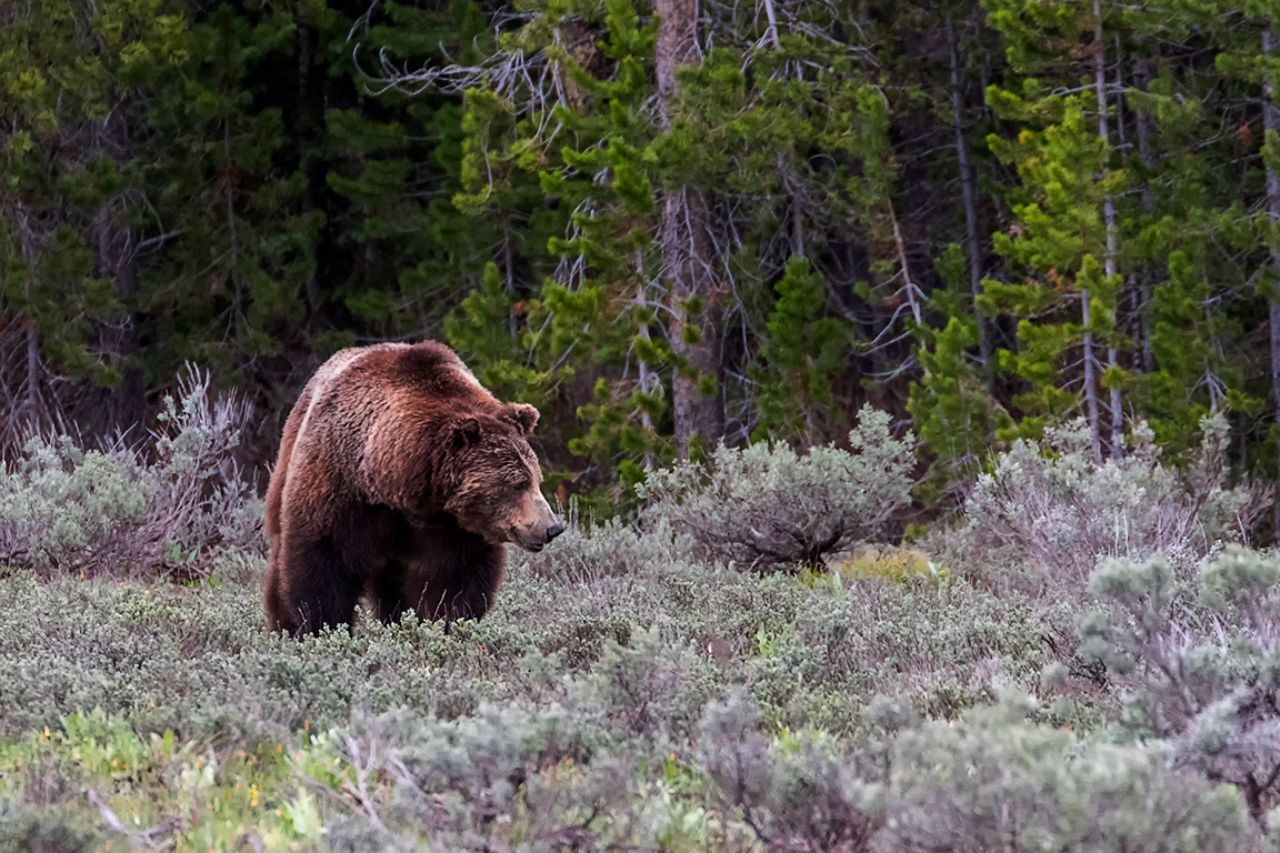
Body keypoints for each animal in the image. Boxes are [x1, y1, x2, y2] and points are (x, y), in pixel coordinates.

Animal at [263, 340, 564, 636]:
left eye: (536, 479)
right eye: (518, 484)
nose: (553, 528)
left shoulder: (454, 530)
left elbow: (454, 584)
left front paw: (445, 624)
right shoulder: (340, 489)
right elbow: (324, 565)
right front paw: (319, 627)